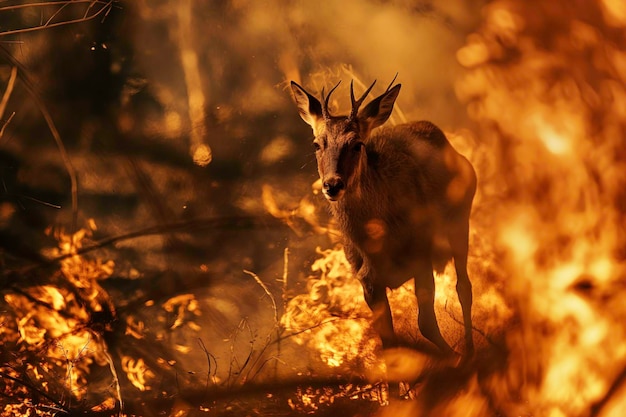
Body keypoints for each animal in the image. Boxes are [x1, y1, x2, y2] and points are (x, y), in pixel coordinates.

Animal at [290, 78, 476, 358]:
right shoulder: (367, 281)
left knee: (464, 287)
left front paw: (456, 359)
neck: (379, 247)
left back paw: (472, 349)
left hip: (460, 219)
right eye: (316, 144)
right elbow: (389, 343)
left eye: (357, 143)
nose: (332, 185)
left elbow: (426, 323)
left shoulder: (421, 255)